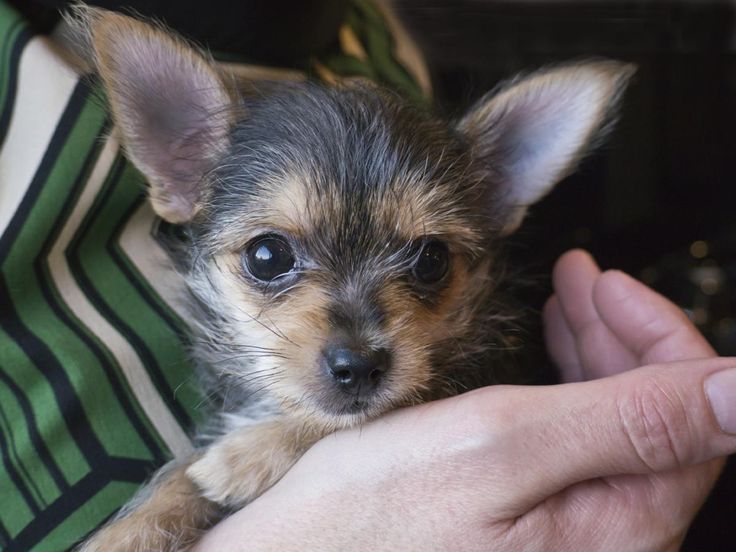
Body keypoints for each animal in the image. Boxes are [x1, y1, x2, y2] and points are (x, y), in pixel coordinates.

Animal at [73, 4, 632, 548]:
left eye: (431, 260)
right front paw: (125, 532)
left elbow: (343, 417)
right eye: (267, 256)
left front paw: (247, 454)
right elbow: (175, 477)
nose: (359, 366)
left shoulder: (472, 372)